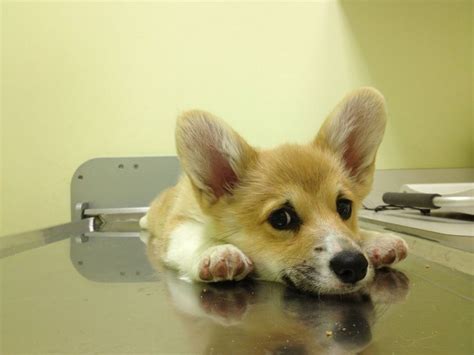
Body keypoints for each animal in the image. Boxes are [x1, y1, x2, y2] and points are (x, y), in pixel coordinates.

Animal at [142, 87, 408, 294]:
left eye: (344, 207)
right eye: (281, 218)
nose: (354, 264)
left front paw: (375, 240)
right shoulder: (178, 225)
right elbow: (192, 237)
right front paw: (218, 251)